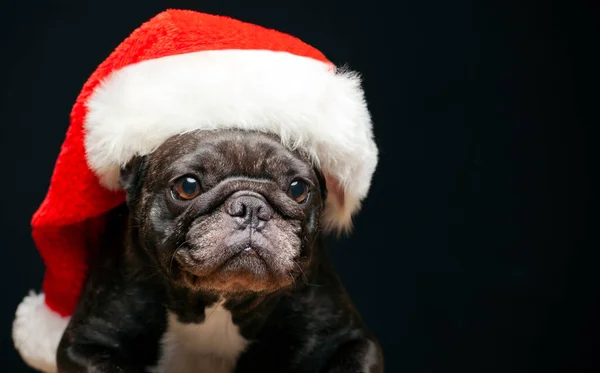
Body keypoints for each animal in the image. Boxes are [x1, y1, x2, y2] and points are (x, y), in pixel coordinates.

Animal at [56, 129, 384, 372]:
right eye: (188, 186)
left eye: (298, 189)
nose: (251, 207)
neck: (220, 301)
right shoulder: (84, 343)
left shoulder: (351, 341)